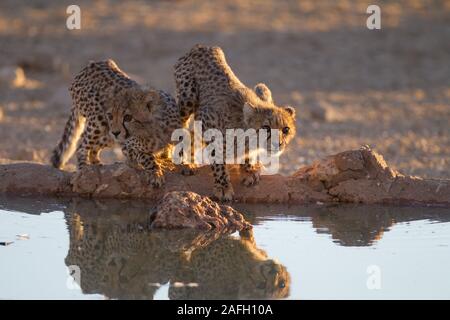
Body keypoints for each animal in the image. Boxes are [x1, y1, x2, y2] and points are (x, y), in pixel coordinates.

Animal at [50, 59, 186, 188]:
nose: (116, 132)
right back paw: (84, 172)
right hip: (99, 123)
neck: (153, 131)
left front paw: (183, 165)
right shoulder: (128, 146)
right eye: (110, 115)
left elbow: (180, 148)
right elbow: (146, 156)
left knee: (94, 147)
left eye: (127, 117)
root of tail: (91, 64)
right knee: (82, 147)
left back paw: (97, 165)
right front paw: (155, 173)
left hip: (107, 134)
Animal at [174, 44, 298, 200]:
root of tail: (204, 46)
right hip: (187, 100)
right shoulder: (207, 120)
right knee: (181, 130)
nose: (278, 143)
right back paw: (185, 163)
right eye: (266, 128)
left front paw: (249, 170)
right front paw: (223, 186)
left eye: (286, 129)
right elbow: (217, 158)